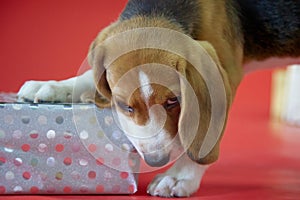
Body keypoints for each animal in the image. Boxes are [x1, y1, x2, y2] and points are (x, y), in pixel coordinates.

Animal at [17, 0, 298, 197]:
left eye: (173, 101)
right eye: (124, 106)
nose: (156, 160)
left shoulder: (224, 74)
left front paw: (180, 176)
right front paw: (55, 86)